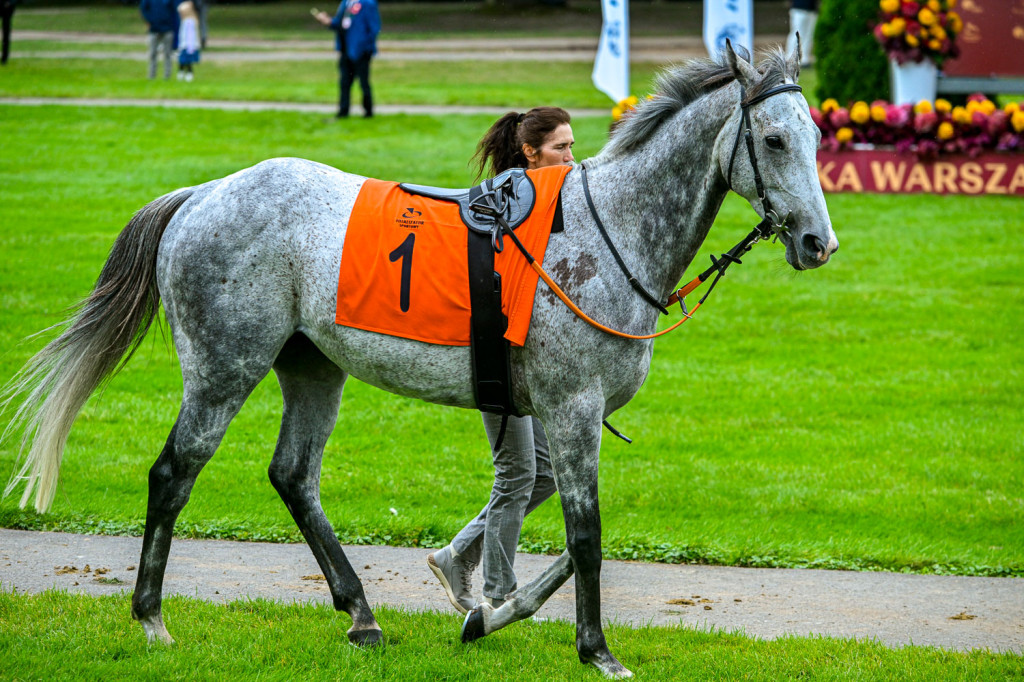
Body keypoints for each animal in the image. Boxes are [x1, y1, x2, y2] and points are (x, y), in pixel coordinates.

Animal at [6, 45, 831, 675]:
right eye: (775, 140)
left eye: (818, 136)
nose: (818, 242)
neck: (606, 235)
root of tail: (203, 193)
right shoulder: (571, 409)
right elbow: (587, 536)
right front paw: (595, 649)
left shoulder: (563, 416)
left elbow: (569, 535)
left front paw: (490, 613)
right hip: (223, 368)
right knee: (174, 474)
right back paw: (151, 617)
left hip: (312, 366)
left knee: (293, 476)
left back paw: (361, 613)